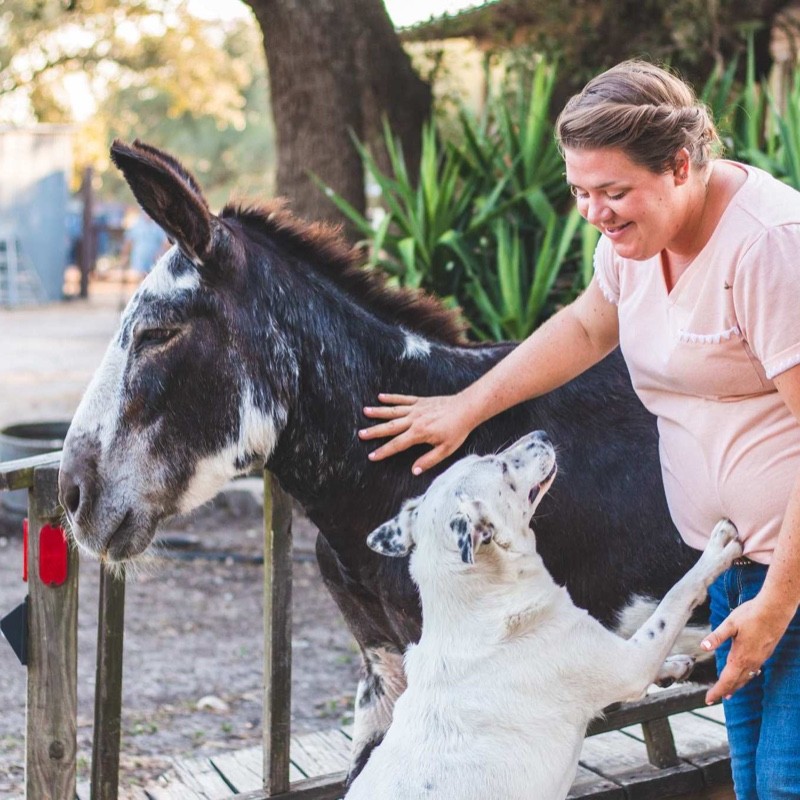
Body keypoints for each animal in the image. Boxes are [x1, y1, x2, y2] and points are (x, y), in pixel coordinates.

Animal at [346, 432, 740, 800]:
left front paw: (673, 665)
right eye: (500, 467)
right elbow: (674, 600)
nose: (541, 434)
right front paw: (715, 551)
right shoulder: (631, 663)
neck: (479, 603)